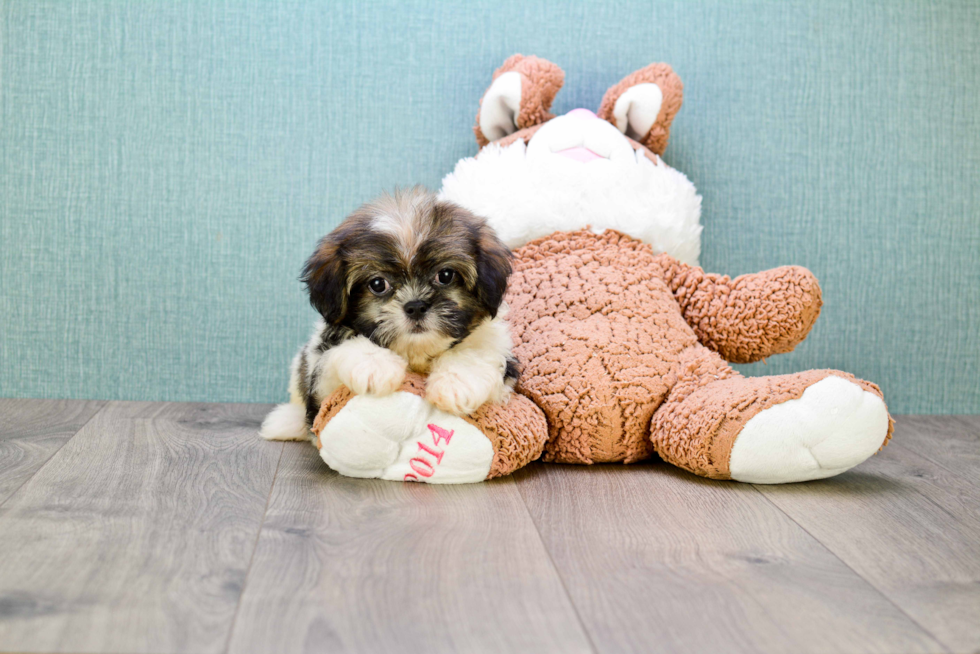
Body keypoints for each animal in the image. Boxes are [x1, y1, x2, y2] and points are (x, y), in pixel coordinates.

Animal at [260, 187, 520, 444]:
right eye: (378, 284)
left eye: (445, 275)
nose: (415, 306)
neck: (416, 354)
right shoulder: (322, 390)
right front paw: (374, 366)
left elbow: (475, 351)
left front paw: (456, 383)